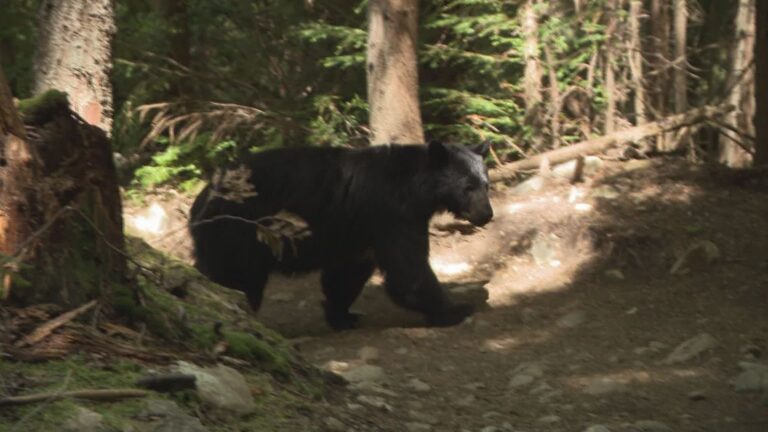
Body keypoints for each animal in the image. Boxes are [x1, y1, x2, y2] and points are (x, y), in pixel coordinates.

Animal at [189, 141, 493, 330]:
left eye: (486, 184)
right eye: (467, 187)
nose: (487, 214)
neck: (414, 186)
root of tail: (200, 201)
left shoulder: (358, 229)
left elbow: (347, 272)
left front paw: (343, 315)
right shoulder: (393, 213)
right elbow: (408, 270)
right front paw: (455, 309)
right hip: (240, 232)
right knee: (235, 278)